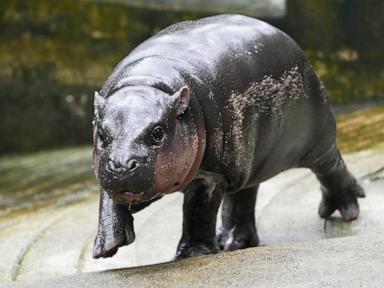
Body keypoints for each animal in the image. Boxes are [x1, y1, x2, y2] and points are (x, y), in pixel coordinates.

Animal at [91, 14, 364, 258]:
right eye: (102, 134)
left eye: (158, 132)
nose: (122, 166)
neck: (146, 83)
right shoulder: (106, 168)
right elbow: (107, 199)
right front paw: (106, 247)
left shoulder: (212, 175)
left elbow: (198, 211)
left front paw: (193, 254)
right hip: (249, 160)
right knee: (243, 196)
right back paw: (232, 242)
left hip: (316, 138)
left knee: (331, 166)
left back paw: (345, 210)